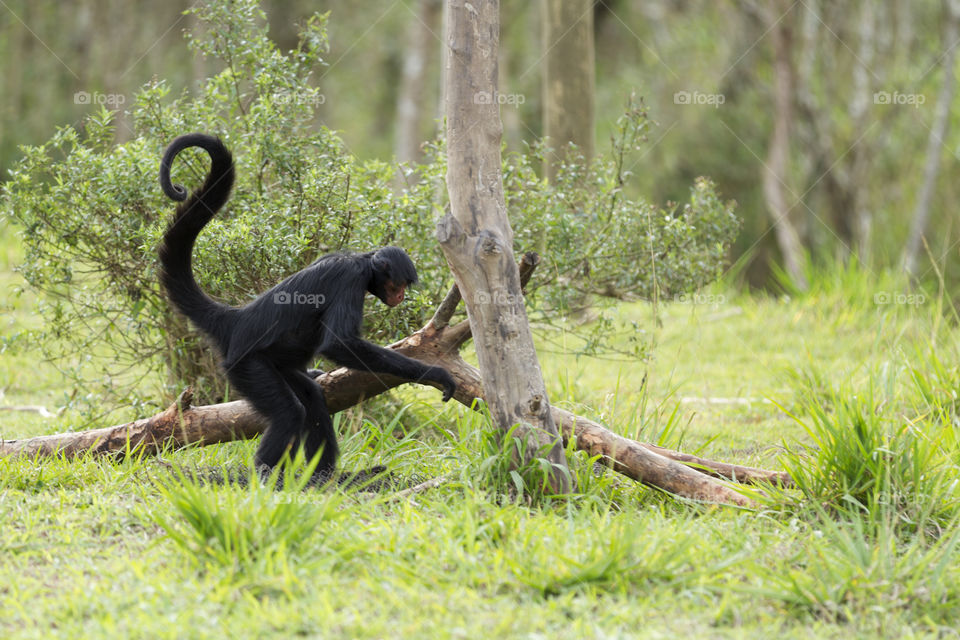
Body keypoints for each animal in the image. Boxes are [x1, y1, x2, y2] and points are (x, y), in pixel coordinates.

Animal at [158, 133, 456, 482]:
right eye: (397, 285)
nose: (400, 297)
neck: (360, 260)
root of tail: (236, 319)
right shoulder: (350, 279)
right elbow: (339, 343)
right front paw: (434, 373)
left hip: (276, 364)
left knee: (312, 398)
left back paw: (324, 478)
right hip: (246, 365)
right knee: (289, 413)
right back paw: (267, 479)